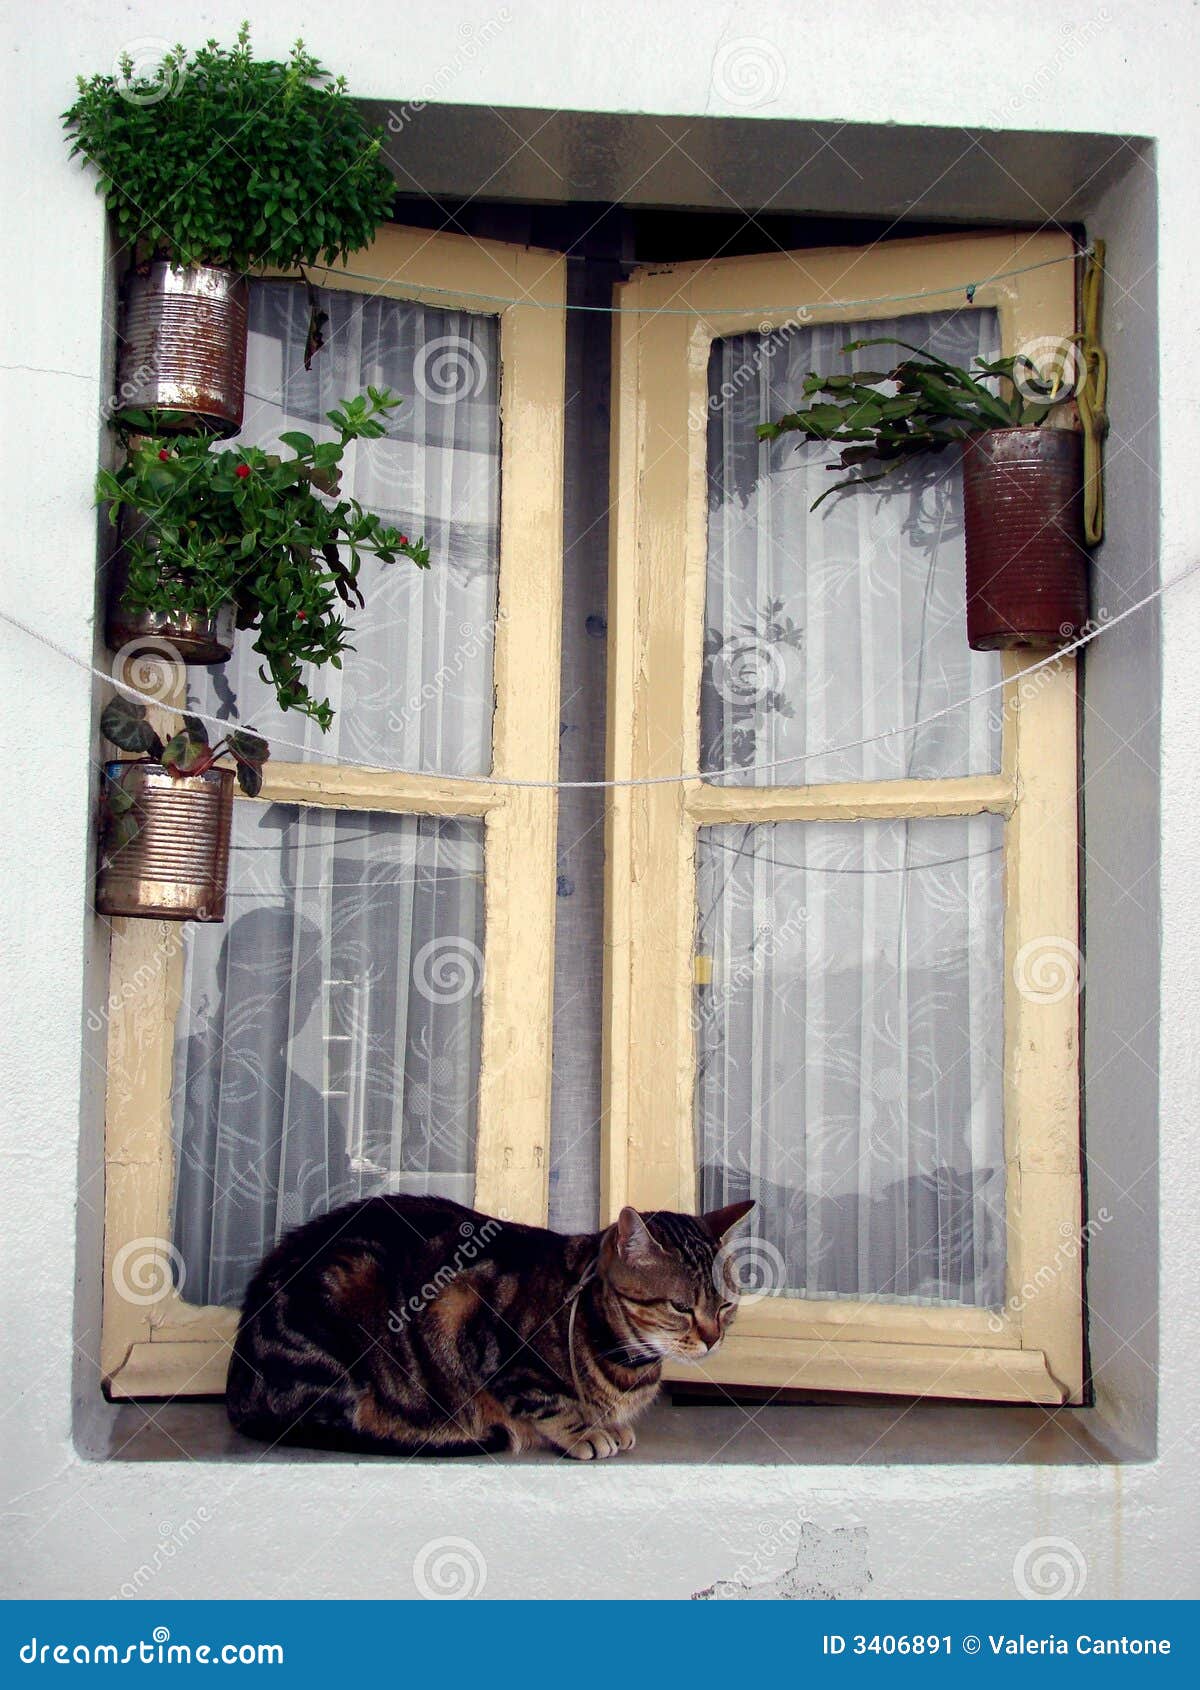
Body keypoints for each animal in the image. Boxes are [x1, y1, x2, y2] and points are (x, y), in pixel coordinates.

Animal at [224, 1196, 750, 1460]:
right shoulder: (472, 1320)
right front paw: (585, 1430)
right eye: (681, 1307)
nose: (712, 1338)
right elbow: (546, 1402)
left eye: (725, 1306)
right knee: (341, 1419)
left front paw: (608, 1423)